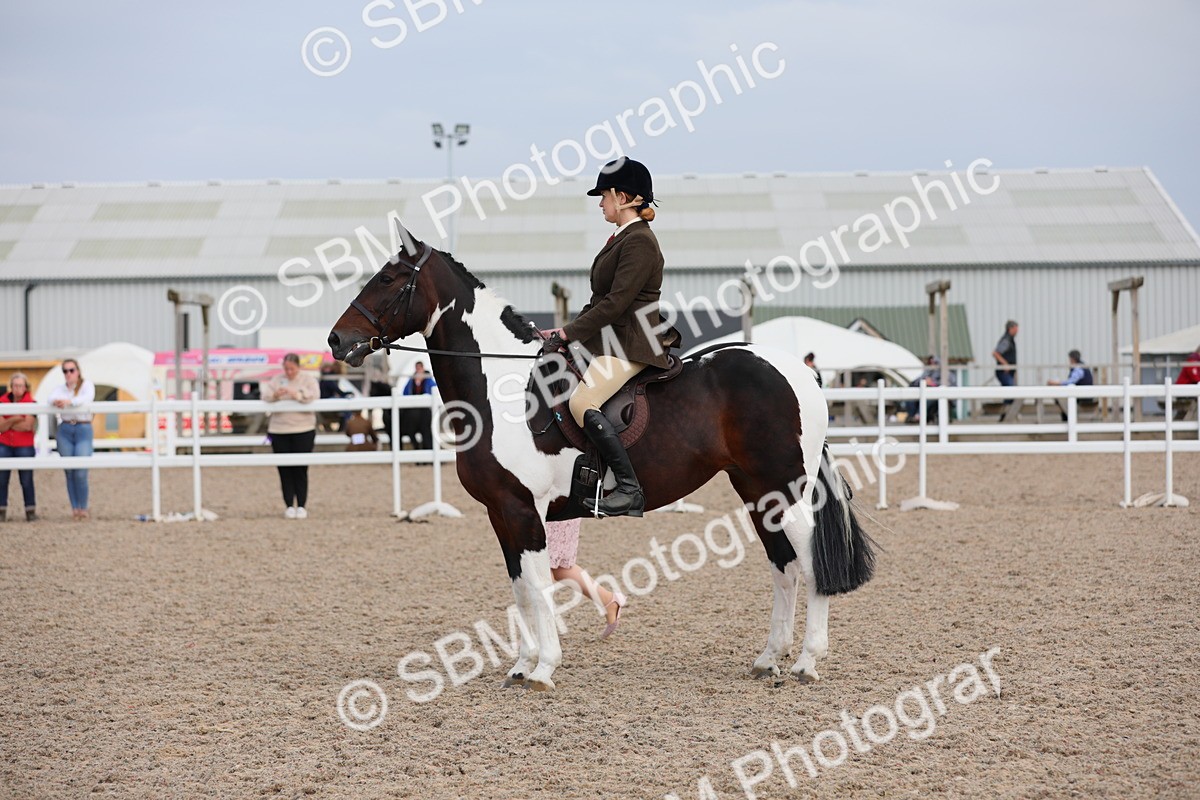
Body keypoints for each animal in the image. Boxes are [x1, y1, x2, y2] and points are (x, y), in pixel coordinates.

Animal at [328, 233, 876, 691]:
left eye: (389, 279)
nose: (336, 341)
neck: (500, 390)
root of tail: (800, 371)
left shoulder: (525, 510)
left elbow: (539, 587)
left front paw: (544, 669)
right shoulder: (501, 512)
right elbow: (521, 588)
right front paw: (521, 666)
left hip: (786, 489)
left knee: (809, 561)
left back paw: (806, 662)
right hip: (759, 493)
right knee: (783, 565)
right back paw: (768, 659)